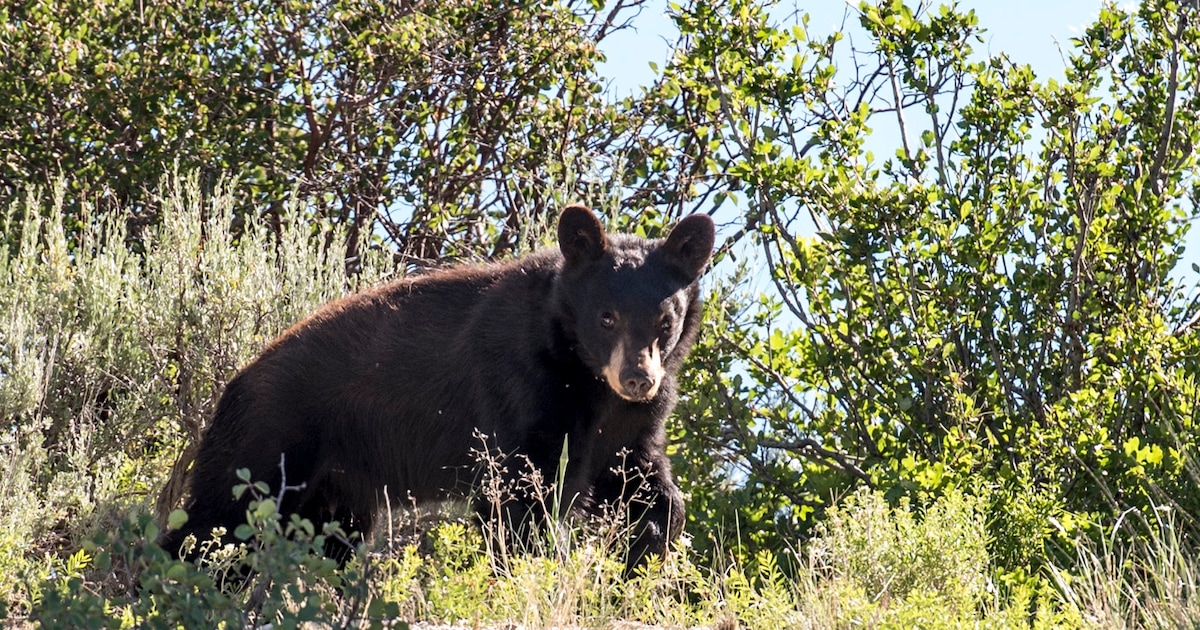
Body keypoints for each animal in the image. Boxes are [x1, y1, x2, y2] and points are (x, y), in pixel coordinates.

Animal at [159, 205, 715, 573]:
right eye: (606, 316)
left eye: (665, 321)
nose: (638, 379)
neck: (584, 375)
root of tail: (233, 384)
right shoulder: (521, 387)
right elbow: (519, 497)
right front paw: (532, 570)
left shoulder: (630, 422)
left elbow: (639, 477)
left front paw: (648, 547)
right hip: (269, 441)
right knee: (215, 523)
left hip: (334, 489)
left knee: (324, 540)